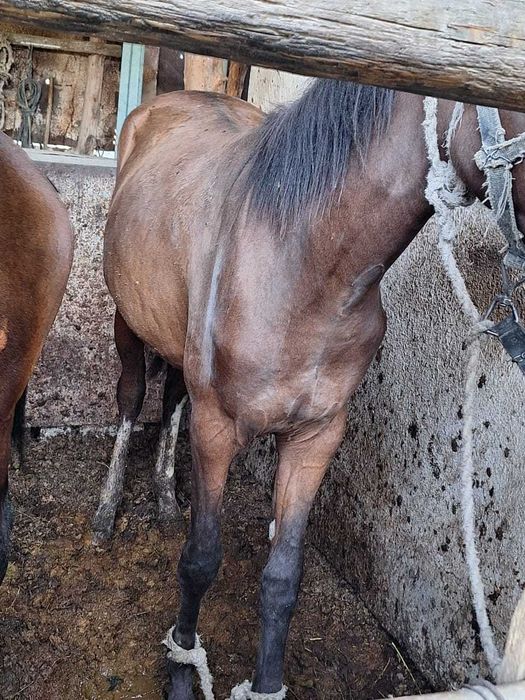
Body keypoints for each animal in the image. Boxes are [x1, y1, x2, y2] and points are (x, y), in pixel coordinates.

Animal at [93, 81, 525, 697]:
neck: (304, 274)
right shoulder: (215, 428)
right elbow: (200, 559)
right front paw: (181, 667)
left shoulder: (315, 437)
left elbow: (282, 578)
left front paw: (265, 682)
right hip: (127, 319)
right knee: (131, 398)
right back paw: (107, 510)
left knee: (172, 395)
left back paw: (165, 496)